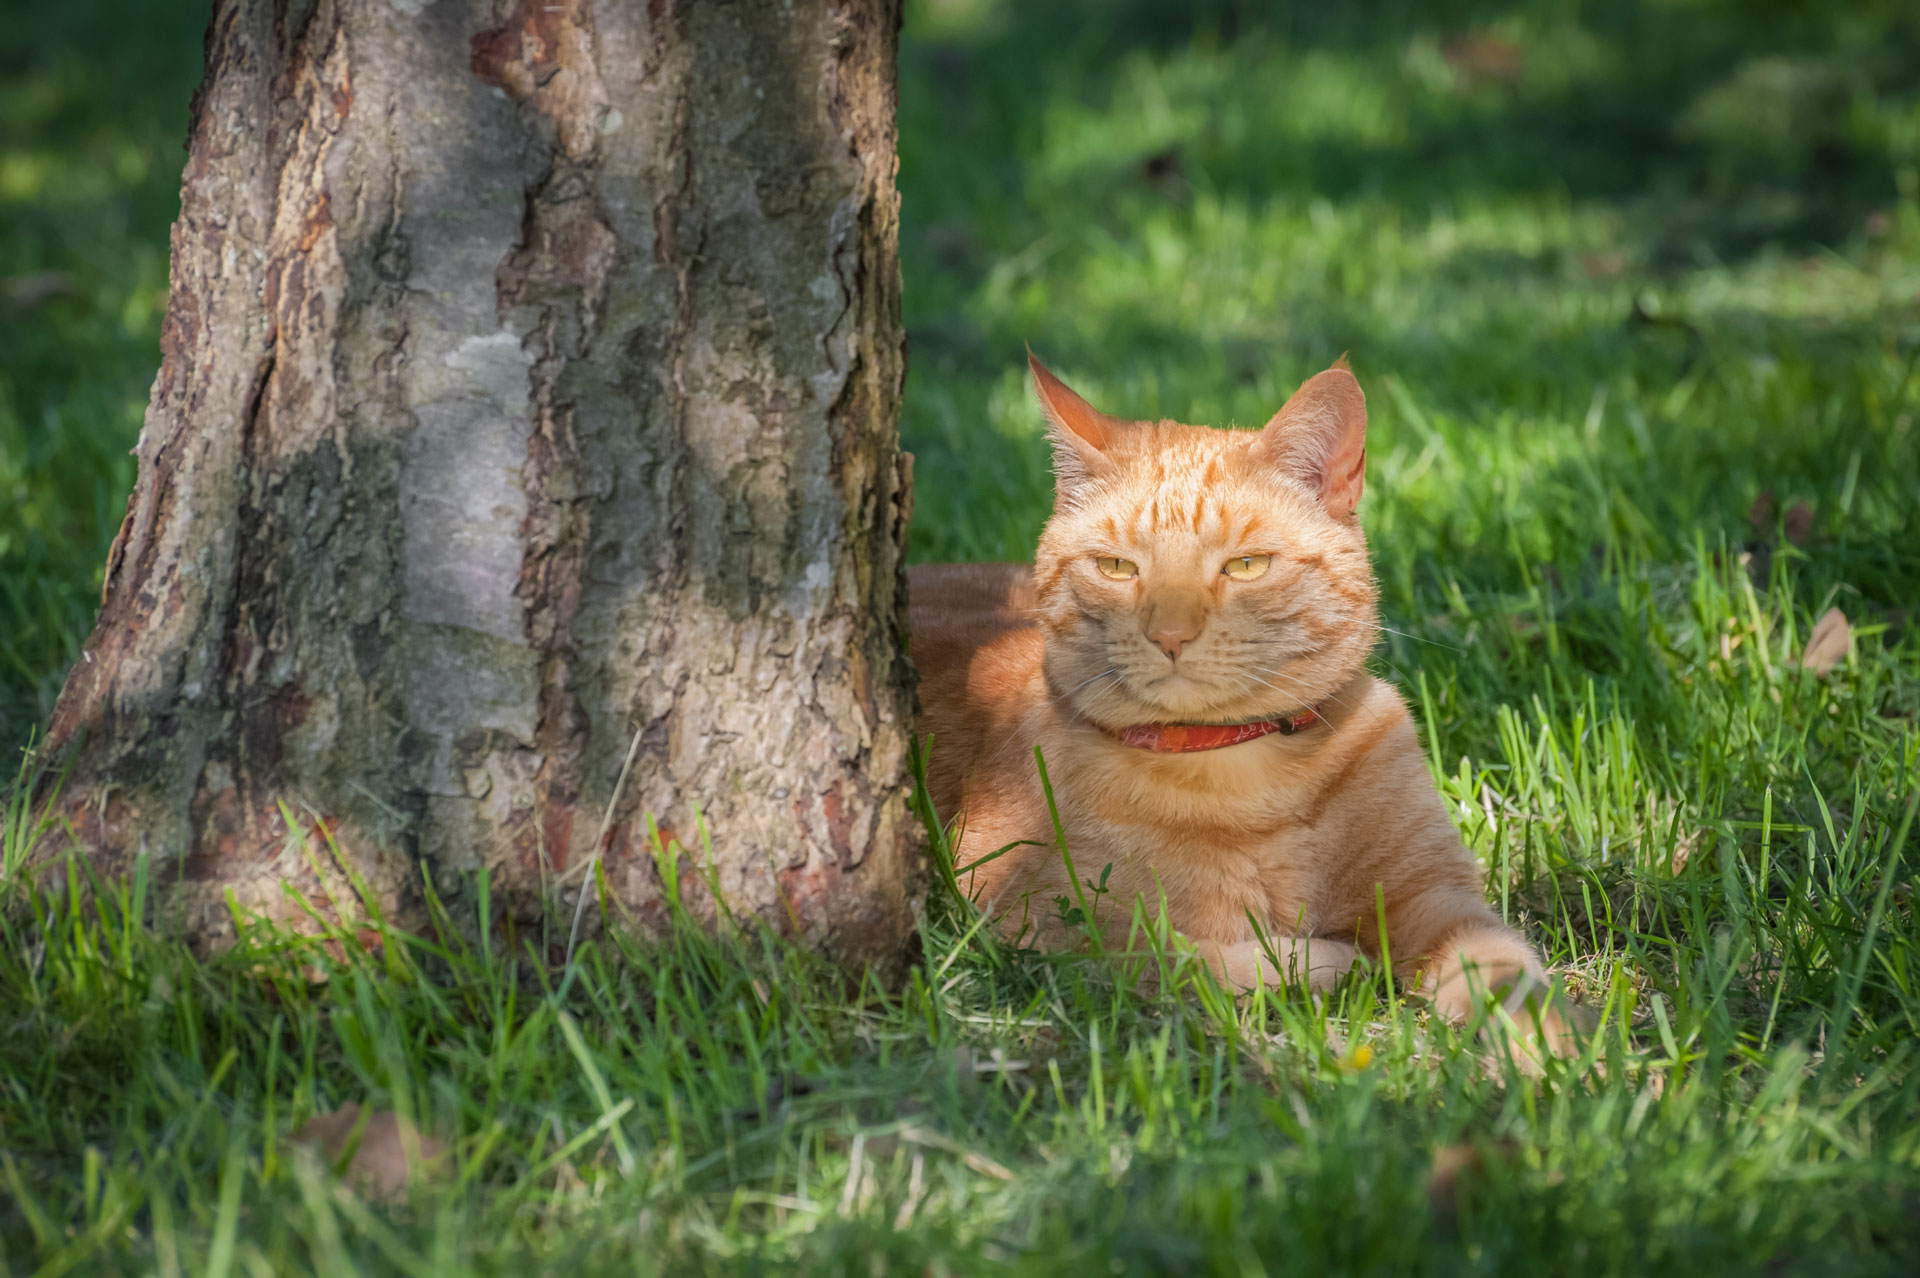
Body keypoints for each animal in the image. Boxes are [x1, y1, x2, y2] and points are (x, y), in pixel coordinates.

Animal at [921, 353, 1582, 1051]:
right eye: (1118, 569)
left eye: (1245, 566)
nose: (1170, 635)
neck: (1242, 774)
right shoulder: (1026, 924)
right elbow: (1179, 956)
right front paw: (1328, 961)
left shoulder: (1440, 902)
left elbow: (1513, 976)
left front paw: (1564, 1052)